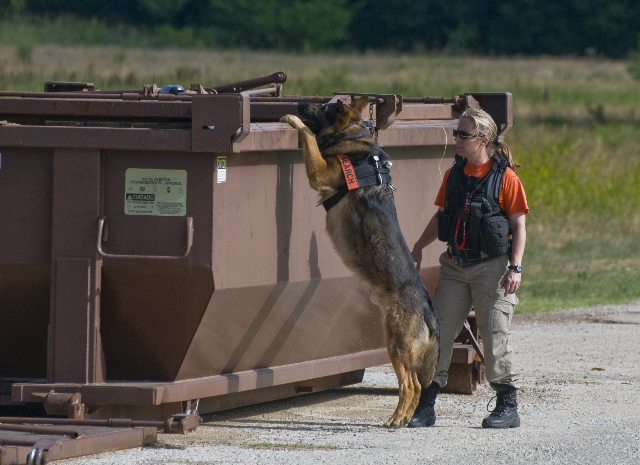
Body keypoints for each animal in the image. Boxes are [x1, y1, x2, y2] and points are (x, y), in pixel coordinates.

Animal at [282, 97, 440, 428]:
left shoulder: (319, 172)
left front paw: (293, 121)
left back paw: (396, 419)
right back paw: (404, 419)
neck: (353, 135)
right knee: (417, 387)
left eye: (320, 106)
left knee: (411, 385)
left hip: (395, 344)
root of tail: (427, 308)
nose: (299, 101)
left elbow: (309, 137)